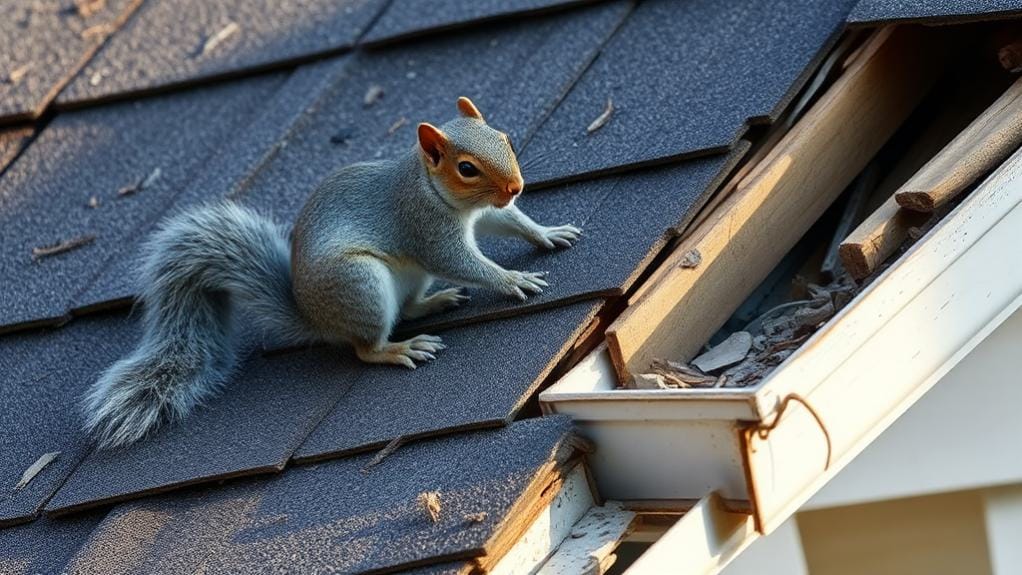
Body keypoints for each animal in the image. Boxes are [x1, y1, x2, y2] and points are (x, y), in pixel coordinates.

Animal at [82, 98, 580, 449]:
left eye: (505, 138)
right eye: (466, 168)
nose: (516, 185)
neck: (428, 186)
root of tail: (316, 318)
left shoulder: (486, 213)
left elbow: (509, 221)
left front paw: (547, 233)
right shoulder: (426, 229)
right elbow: (461, 261)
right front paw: (511, 280)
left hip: (404, 279)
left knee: (408, 308)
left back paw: (436, 302)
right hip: (362, 285)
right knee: (364, 348)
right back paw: (399, 349)